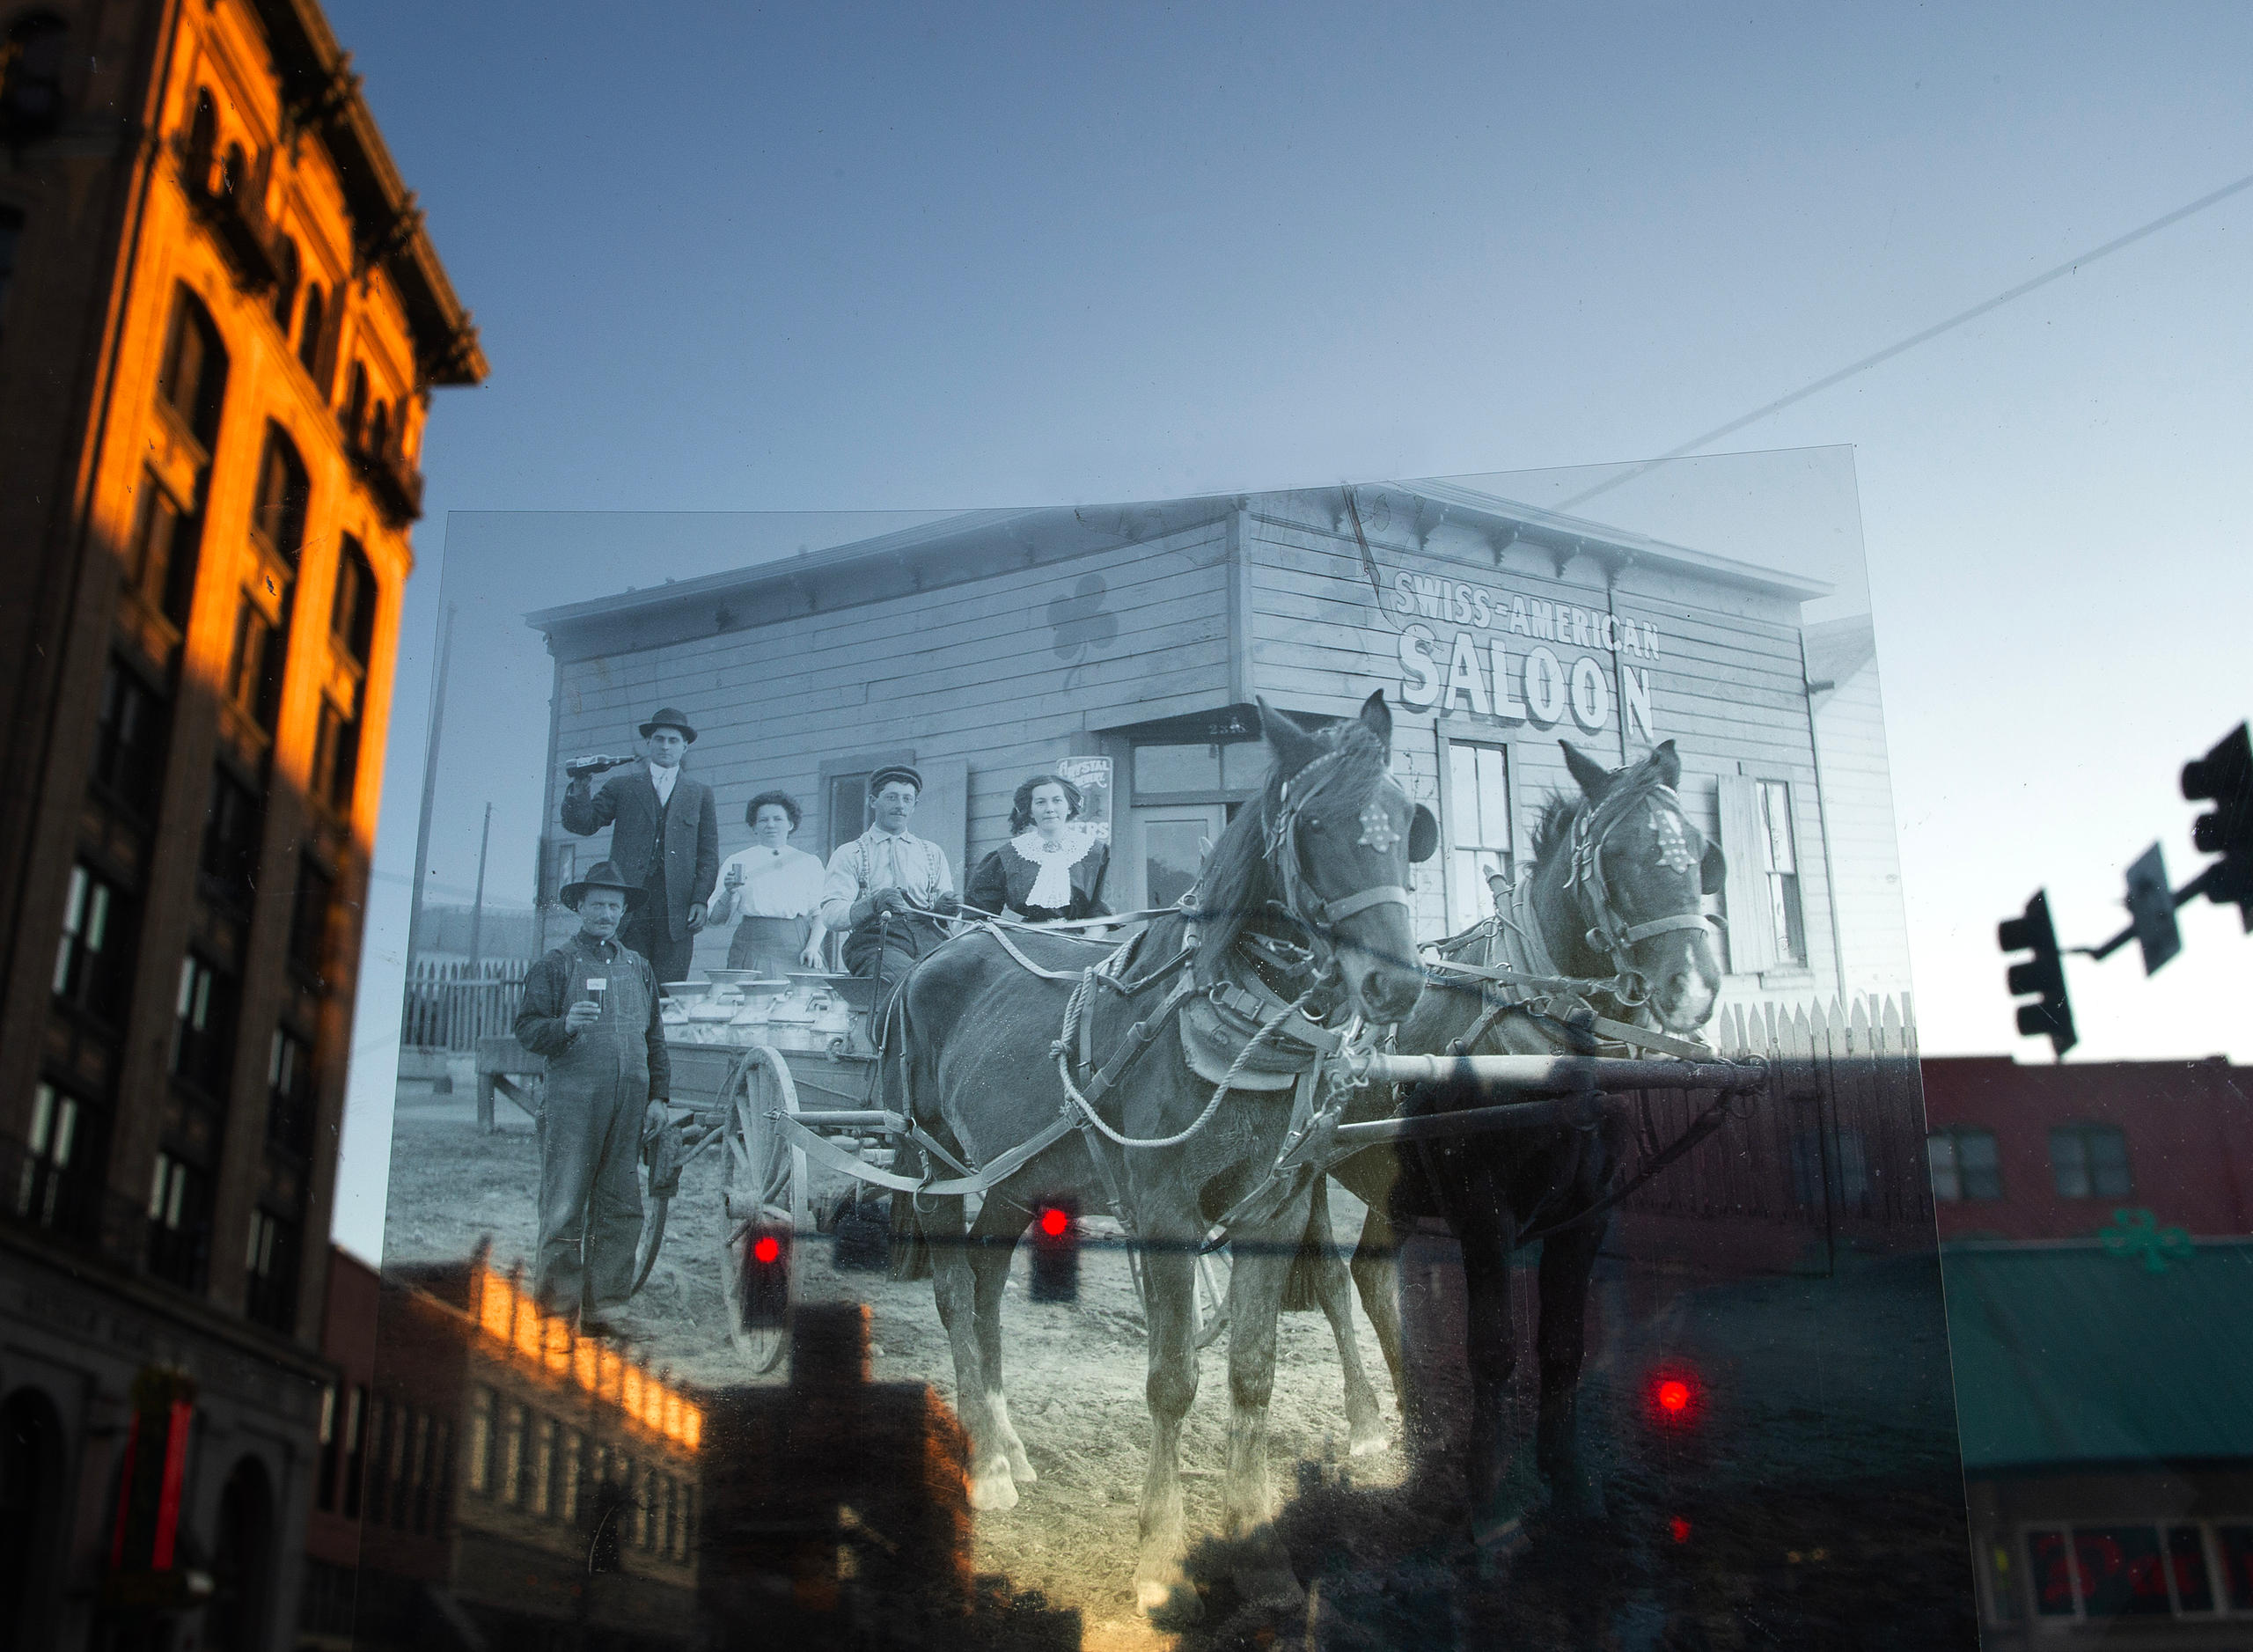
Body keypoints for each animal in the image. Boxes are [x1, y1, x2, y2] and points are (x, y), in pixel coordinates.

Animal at [887, 689, 1433, 1613]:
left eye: (1404, 820)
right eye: (1316, 822)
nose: (1395, 983)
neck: (1232, 1022)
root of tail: (940, 950)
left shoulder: (1276, 1207)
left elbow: (1252, 1370)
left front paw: (1258, 1551)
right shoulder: (1167, 1211)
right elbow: (1172, 1378)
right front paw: (1158, 1557)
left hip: (1015, 1178)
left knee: (989, 1289)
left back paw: (1009, 1442)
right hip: (936, 1165)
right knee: (958, 1295)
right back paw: (988, 1463)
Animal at [1316, 738, 1721, 1550]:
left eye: (1699, 850)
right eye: (1619, 853)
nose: (1693, 987)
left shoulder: (1590, 1208)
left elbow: (1563, 1348)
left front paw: (1572, 1482)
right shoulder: (1482, 1206)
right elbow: (1495, 1347)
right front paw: (1493, 1493)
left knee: (1372, 1276)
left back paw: (1417, 1426)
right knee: (1331, 1283)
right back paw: (1369, 1420)